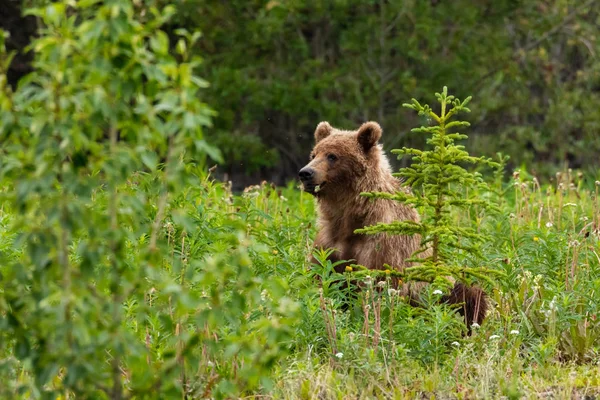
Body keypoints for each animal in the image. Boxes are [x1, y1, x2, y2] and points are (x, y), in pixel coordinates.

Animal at [300, 121, 488, 328]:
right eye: (314, 154)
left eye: (332, 155)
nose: (306, 173)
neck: (352, 217)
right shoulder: (330, 242)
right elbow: (322, 277)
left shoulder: (383, 246)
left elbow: (378, 285)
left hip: (443, 287)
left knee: (469, 295)